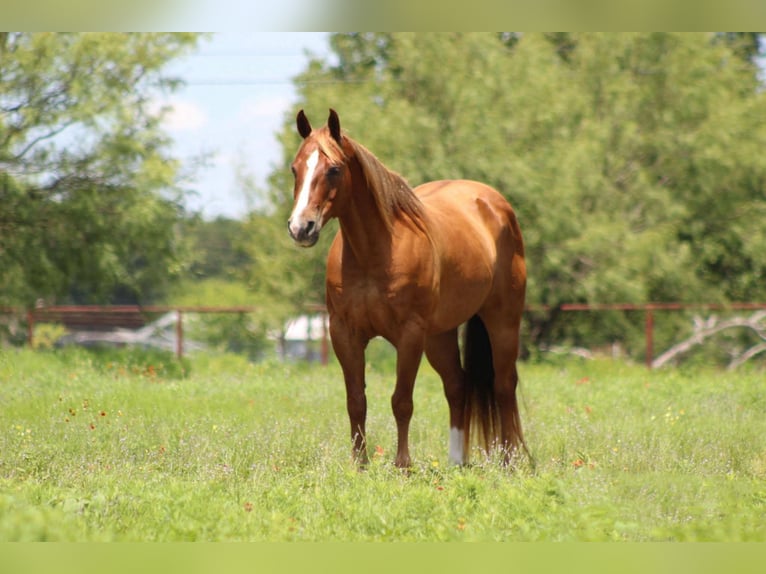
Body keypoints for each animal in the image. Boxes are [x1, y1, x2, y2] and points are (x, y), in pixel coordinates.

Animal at [287, 109, 528, 468]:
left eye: (334, 169)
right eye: (295, 168)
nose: (301, 227)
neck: (375, 252)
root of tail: (495, 205)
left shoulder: (409, 333)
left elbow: (401, 401)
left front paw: (403, 465)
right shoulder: (344, 333)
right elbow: (356, 401)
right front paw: (359, 465)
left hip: (502, 321)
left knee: (504, 385)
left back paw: (509, 462)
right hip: (439, 335)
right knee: (457, 385)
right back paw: (456, 462)